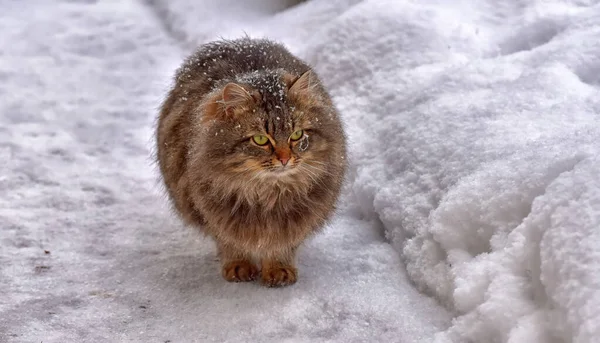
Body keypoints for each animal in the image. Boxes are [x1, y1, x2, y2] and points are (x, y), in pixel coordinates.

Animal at [155, 37, 346, 288]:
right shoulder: (215, 215)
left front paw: (278, 269)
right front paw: (239, 266)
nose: (285, 159)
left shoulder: (294, 223)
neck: (268, 196)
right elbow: (231, 245)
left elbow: (281, 248)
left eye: (296, 135)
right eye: (260, 140)